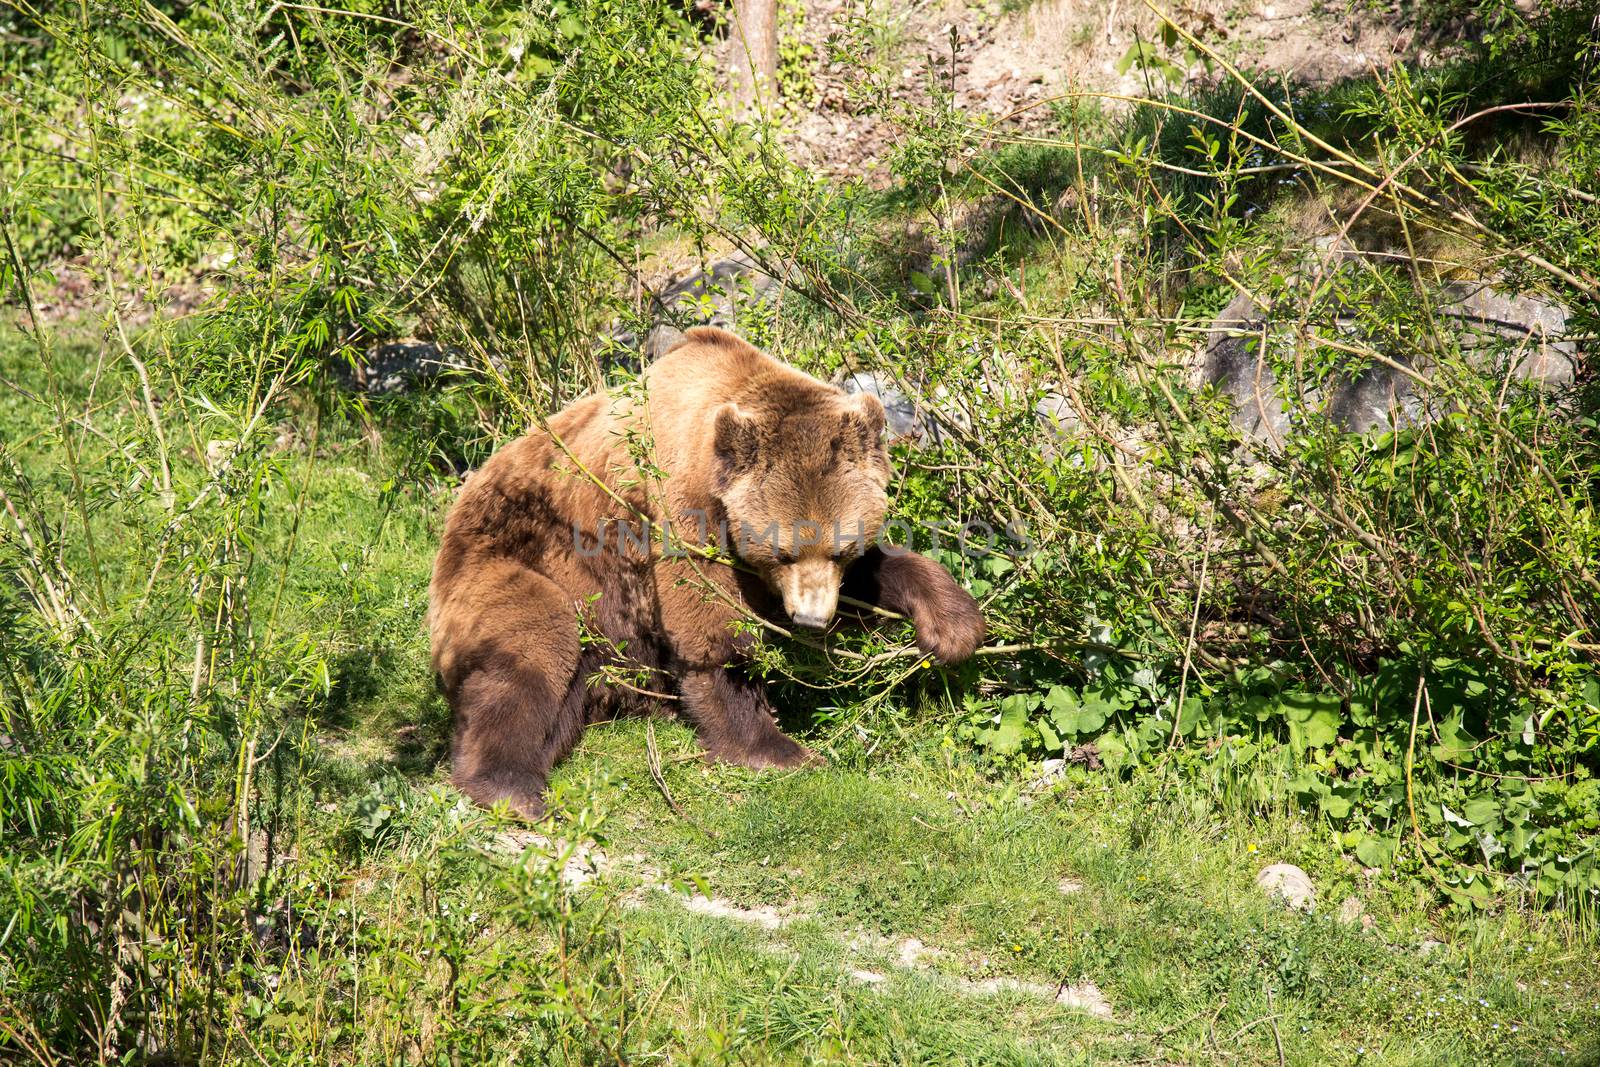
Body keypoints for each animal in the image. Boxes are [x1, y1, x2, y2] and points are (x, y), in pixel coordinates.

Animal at [425, 326, 979, 819]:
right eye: (782, 552)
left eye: (842, 549)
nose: (811, 619)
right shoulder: (678, 513)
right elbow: (708, 626)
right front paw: (776, 747)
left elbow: (879, 575)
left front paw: (951, 625)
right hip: (515, 560)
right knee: (533, 646)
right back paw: (511, 786)